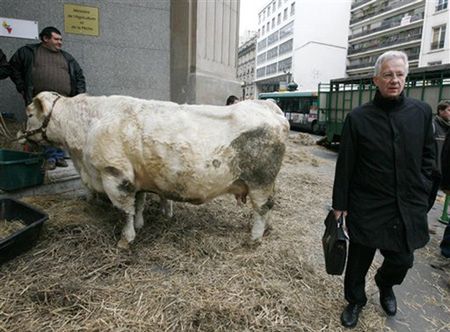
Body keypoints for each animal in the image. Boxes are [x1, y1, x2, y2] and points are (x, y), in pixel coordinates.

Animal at [22, 92, 290, 248]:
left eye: (29, 113)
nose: (21, 134)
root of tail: (268, 105)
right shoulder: (136, 177)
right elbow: (138, 203)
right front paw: (140, 224)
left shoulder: (115, 175)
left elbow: (125, 210)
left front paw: (126, 239)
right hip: (267, 183)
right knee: (270, 206)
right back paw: (267, 229)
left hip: (260, 181)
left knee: (262, 208)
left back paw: (254, 238)